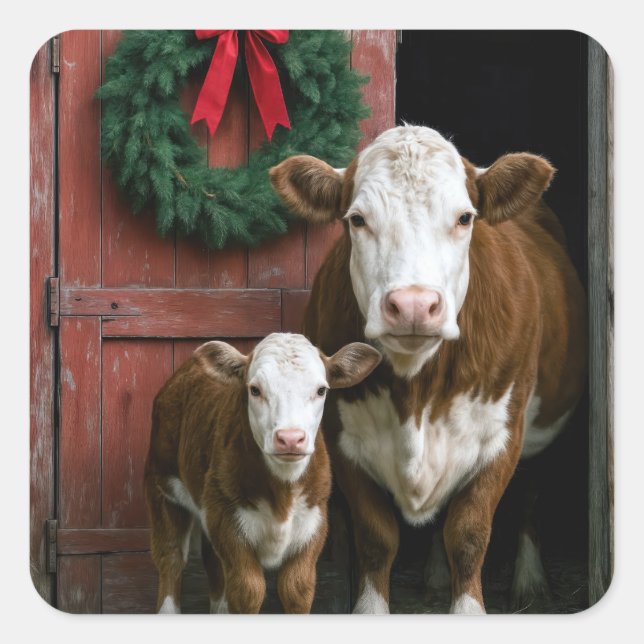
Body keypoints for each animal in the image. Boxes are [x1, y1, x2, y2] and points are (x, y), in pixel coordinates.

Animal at [144, 333, 381, 614]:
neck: (283, 491)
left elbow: (296, 589)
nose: (290, 438)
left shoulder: (314, 522)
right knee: (170, 556)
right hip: (163, 483)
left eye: (321, 390)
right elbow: (248, 590)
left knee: (212, 560)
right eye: (255, 389)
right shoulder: (228, 522)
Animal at [269, 125, 587, 614]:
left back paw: (530, 581)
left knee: (530, 497)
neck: (415, 389)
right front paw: (371, 609)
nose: (414, 305)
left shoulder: (503, 434)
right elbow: (377, 537)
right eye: (357, 219)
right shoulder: (341, 437)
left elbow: (470, 534)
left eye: (464, 218)